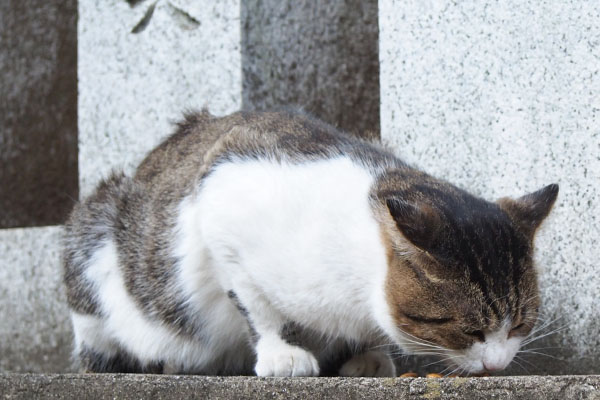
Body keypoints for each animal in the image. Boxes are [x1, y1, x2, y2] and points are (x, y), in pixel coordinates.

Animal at [62, 108, 556, 376]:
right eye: (470, 331)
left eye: (519, 325)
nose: (497, 365)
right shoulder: (222, 205)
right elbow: (258, 308)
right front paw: (282, 355)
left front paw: (369, 356)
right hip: (94, 232)